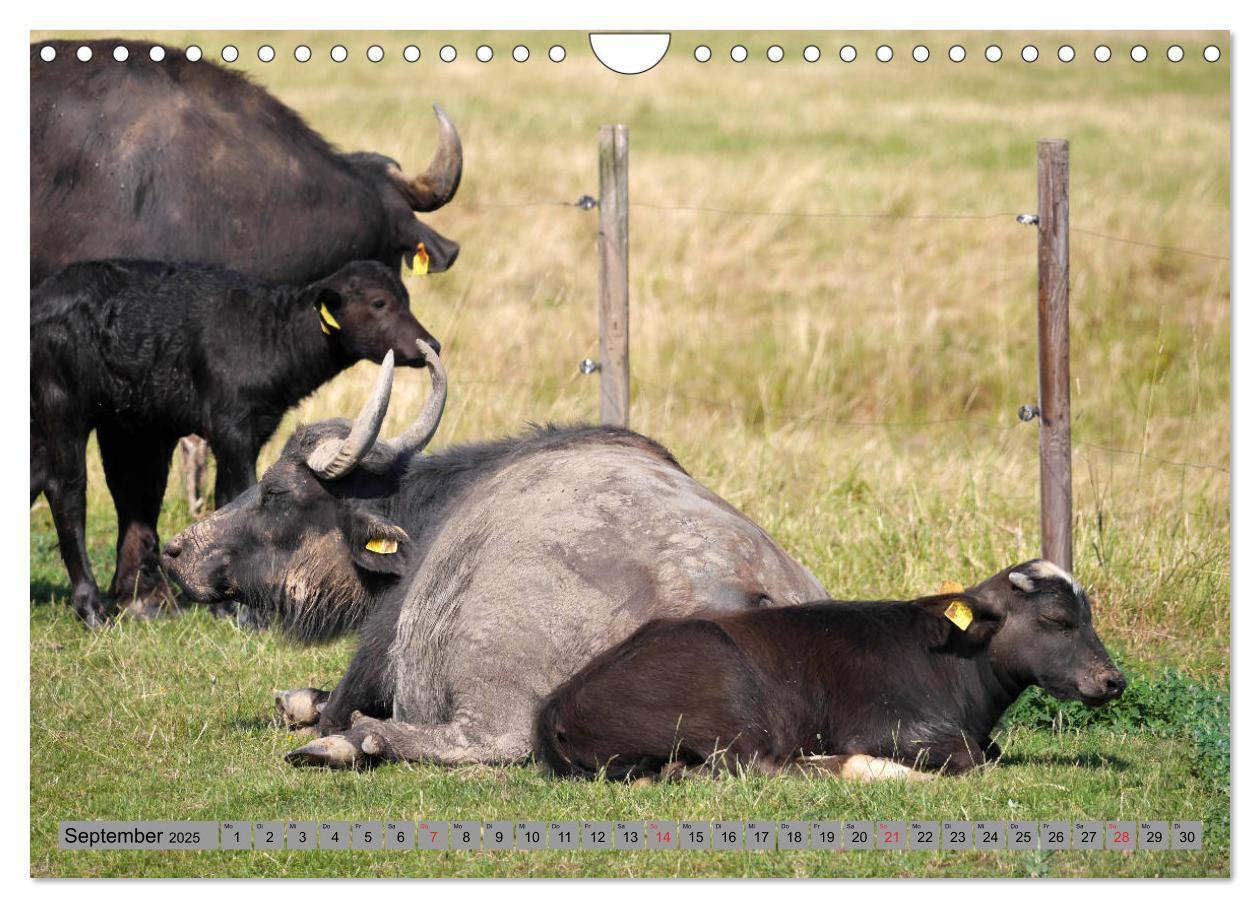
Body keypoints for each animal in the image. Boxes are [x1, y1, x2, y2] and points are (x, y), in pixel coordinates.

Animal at [162, 347, 831, 765]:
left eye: (276, 492)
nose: (175, 551)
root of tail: (741, 590)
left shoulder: (378, 651)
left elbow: (335, 702)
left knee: (486, 740)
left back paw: (358, 743)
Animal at [536, 559, 1128, 780]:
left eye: (1089, 616)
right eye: (1057, 620)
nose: (1113, 680)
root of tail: (559, 703)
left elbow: (993, 752)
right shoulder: (893, 728)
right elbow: (972, 759)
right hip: (733, 704)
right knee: (759, 766)